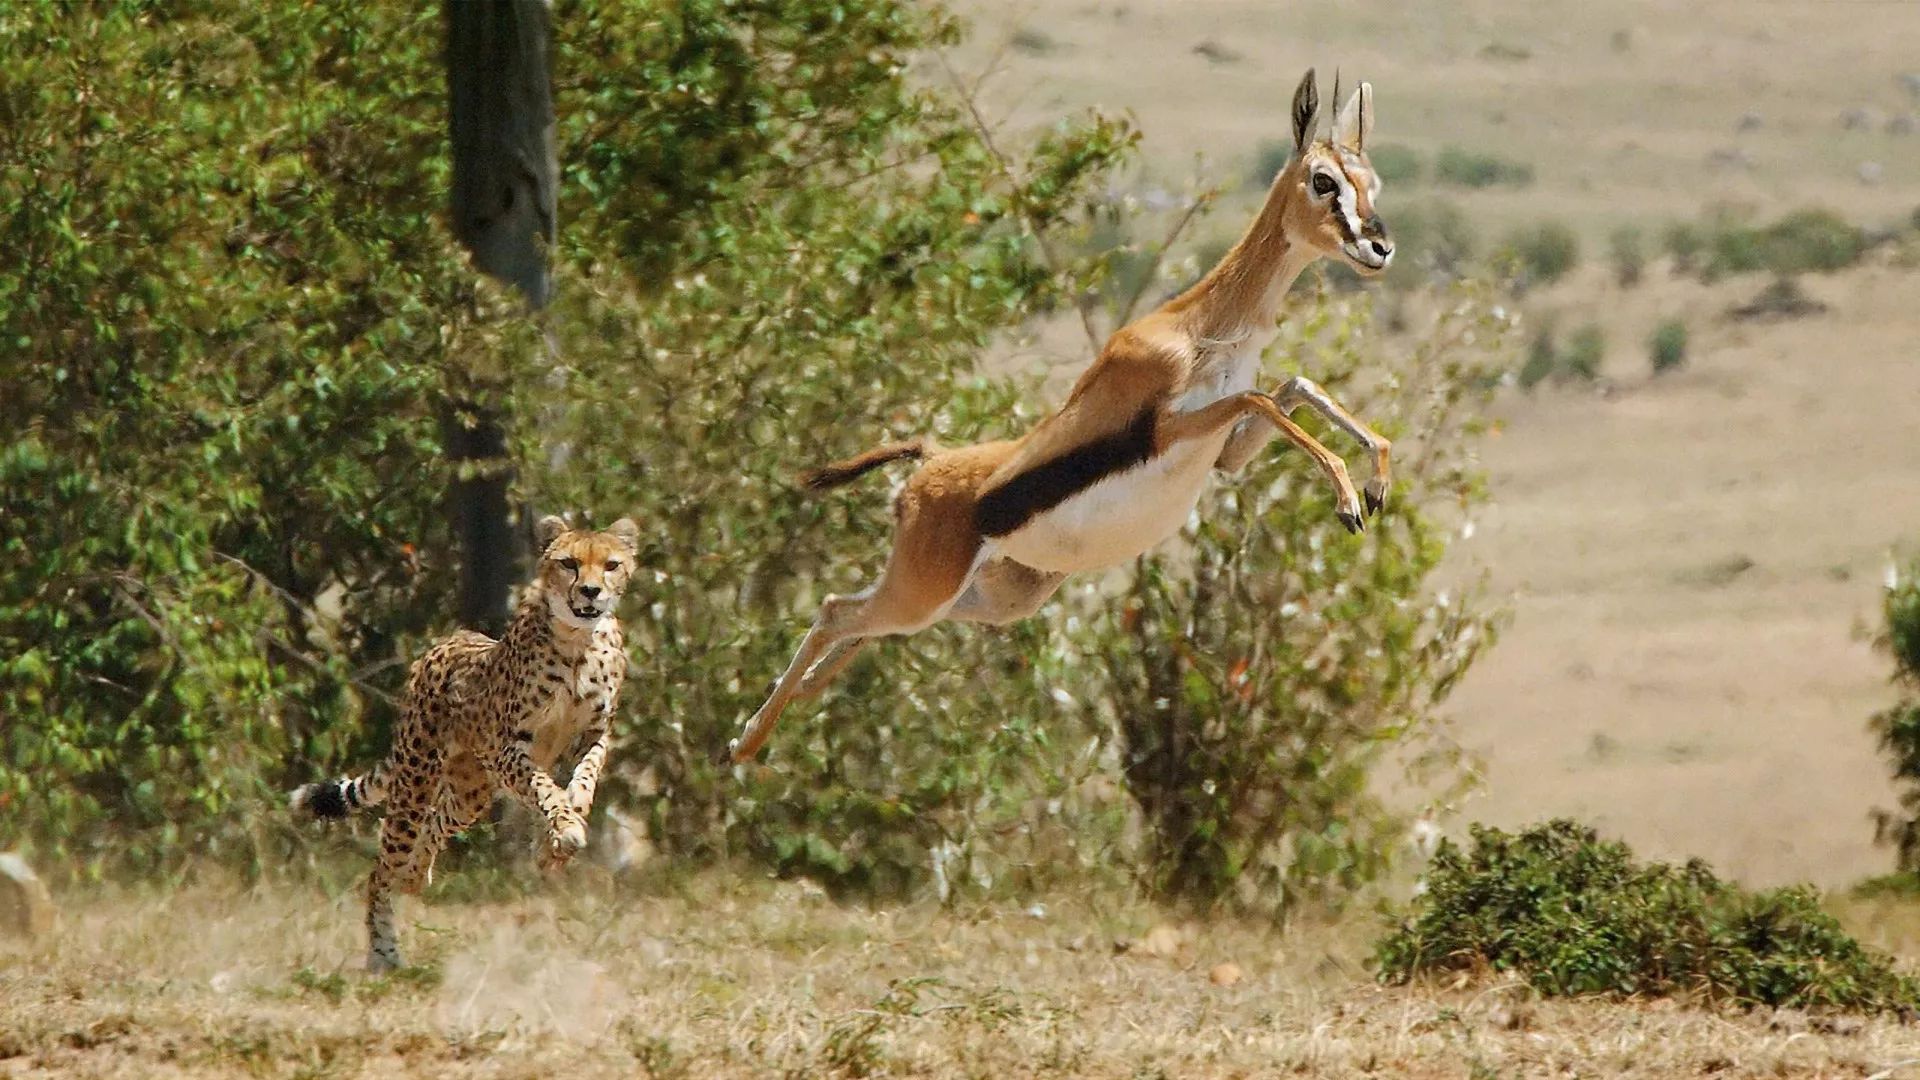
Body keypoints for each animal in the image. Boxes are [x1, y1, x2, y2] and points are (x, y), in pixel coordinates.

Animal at [289, 511, 637, 968]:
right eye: (569, 564)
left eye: (611, 565)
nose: (591, 591)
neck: (578, 641)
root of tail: (442, 643)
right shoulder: (509, 747)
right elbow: (545, 788)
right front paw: (562, 827)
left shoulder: (594, 735)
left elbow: (584, 781)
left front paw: (562, 834)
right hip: (416, 782)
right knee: (381, 867)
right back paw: (384, 953)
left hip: (470, 792)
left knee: (435, 823)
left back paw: (416, 872)